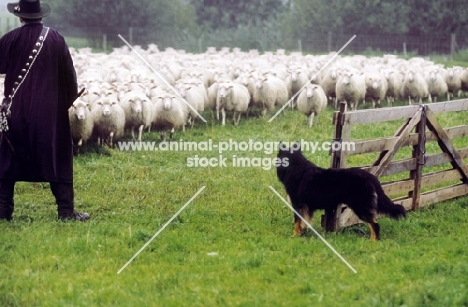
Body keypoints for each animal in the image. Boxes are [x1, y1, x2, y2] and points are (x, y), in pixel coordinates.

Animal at [276, 143, 404, 242]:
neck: (295, 166)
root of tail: (370, 176)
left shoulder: (297, 204)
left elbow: (297, 222)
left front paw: (295, 236)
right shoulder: (307, 207)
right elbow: (304, 221)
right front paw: (302, 233)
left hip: (361, 207)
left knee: (375, 225)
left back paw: (373, 241)